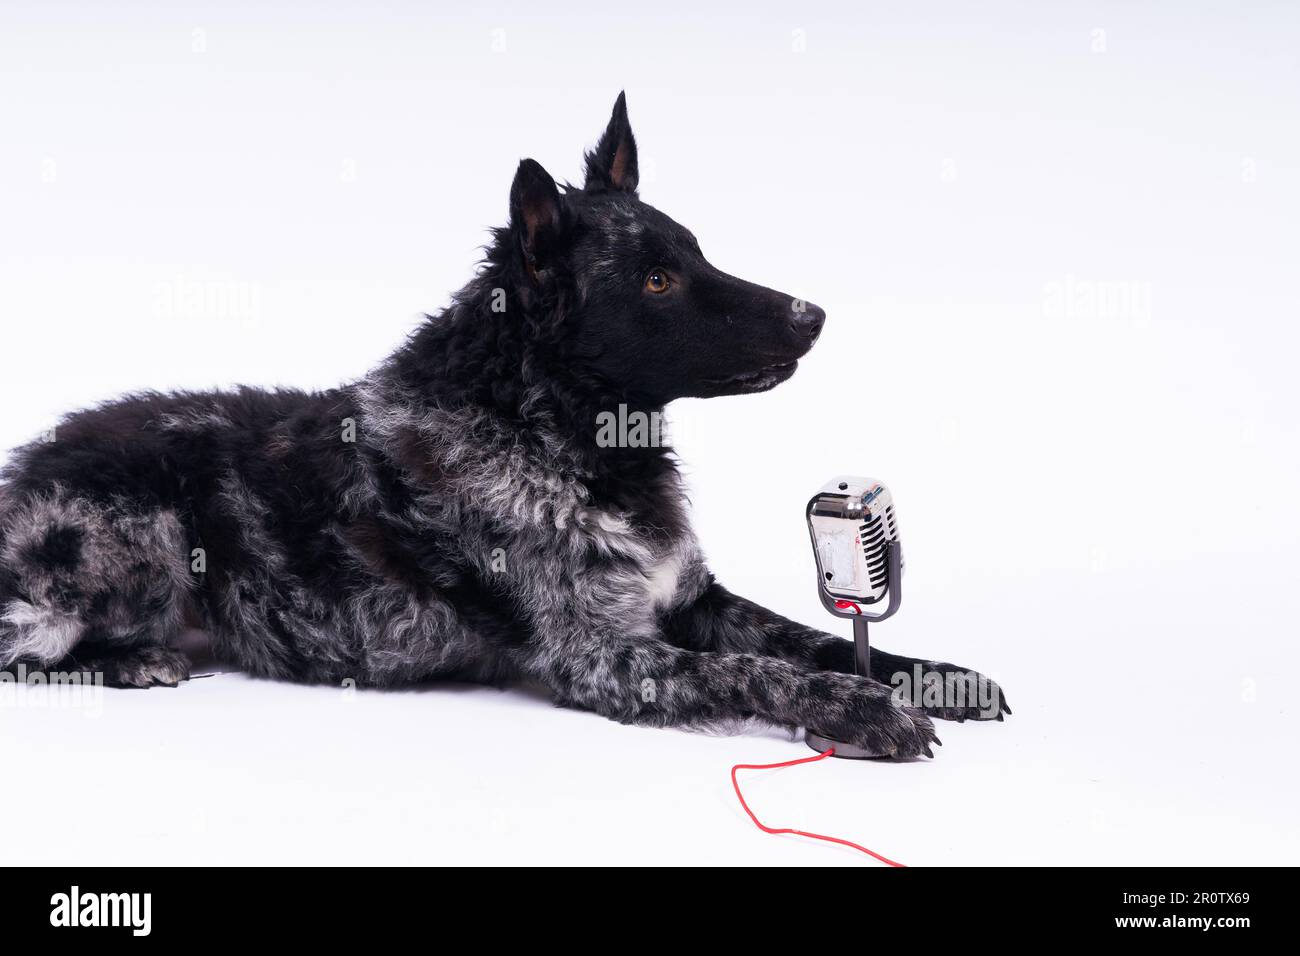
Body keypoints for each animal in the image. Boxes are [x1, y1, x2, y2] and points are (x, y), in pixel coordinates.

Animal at [0, 95, 1003, 754]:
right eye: (656, 280)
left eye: (697, 252)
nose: (813, 315)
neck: (553, 436)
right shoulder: (606, 656)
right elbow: (770, 671)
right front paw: (865, 711)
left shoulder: (696, 602)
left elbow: (815, 636)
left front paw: (928, 674)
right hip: (143, 539)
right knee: (24, 645)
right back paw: (133, 660)